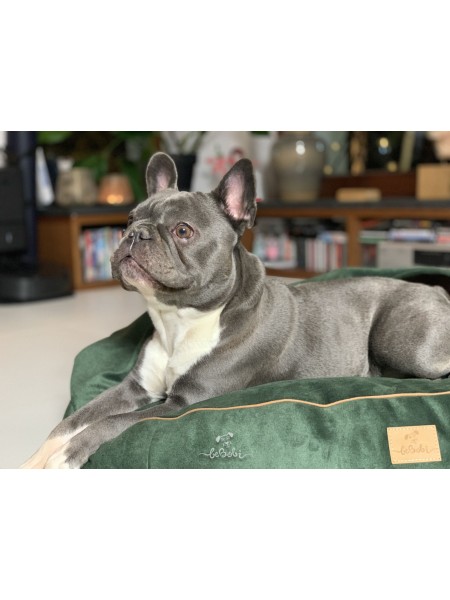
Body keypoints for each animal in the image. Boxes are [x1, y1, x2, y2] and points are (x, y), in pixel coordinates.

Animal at [21, 152, 450, 468]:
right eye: (127, 220)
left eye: (182, 231)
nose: (134, 235)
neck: (179, 321)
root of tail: (435, 290)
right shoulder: (134, 387)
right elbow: (73, 420)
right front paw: (35, 459)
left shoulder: (181, 403)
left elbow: (109, 423)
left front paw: (65, 456)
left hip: (406, 345)